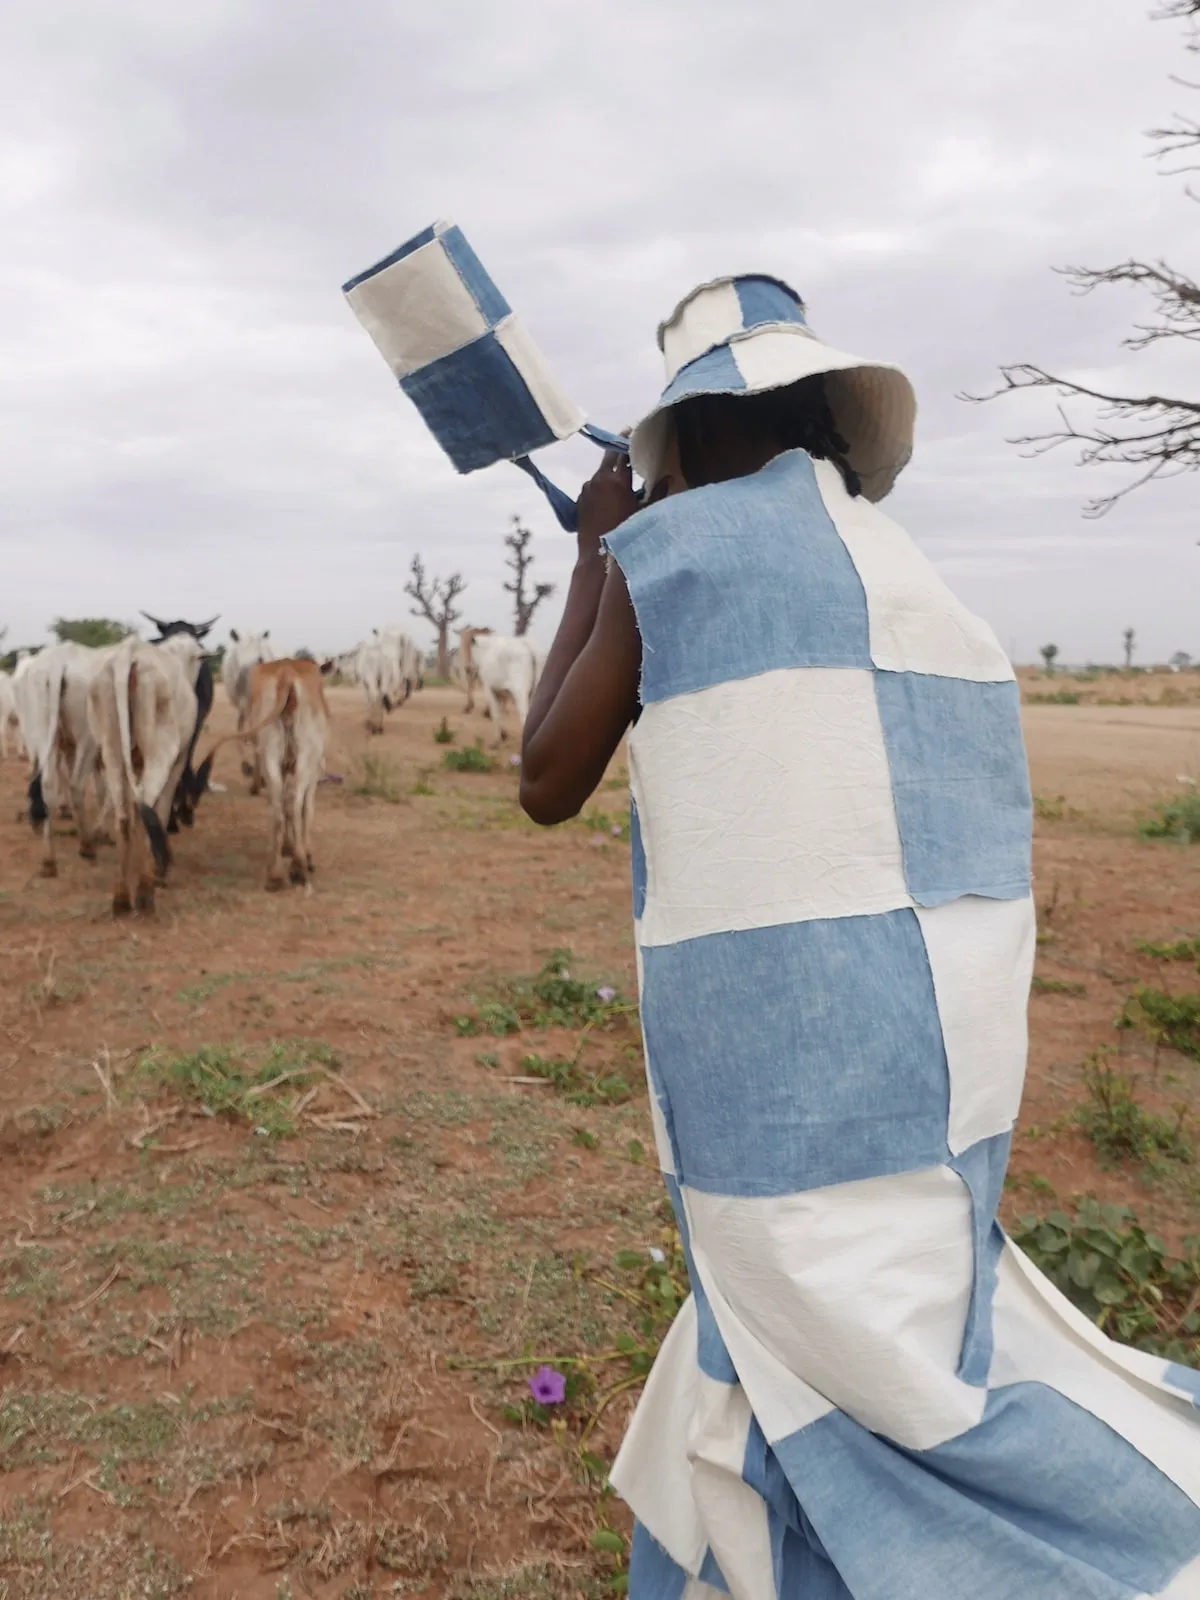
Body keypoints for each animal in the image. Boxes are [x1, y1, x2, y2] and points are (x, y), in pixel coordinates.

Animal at [86, 633, 202, 915]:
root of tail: (130, 652)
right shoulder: (178, 761)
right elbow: (162, 809)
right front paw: (161, 870)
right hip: (160, 752)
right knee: (144, 808)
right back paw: (145, 891)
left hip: (112, 752)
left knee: (124, 816)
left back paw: (121, 898)